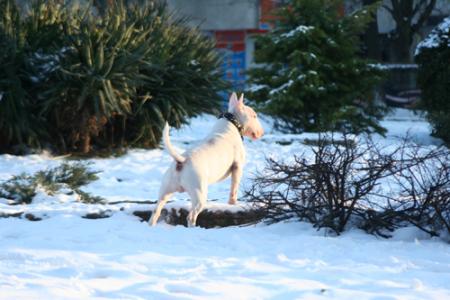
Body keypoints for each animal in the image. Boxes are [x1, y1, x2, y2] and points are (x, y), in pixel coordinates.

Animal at [149, 92, 266, 226]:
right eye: (254, 116)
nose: (262, 132)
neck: (232, 122)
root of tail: (181, 161)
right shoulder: (237, 167)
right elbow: (234, 188)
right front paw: (233, 204)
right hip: (199, 193)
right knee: (191, 216)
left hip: (165, 190)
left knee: (156, 211)